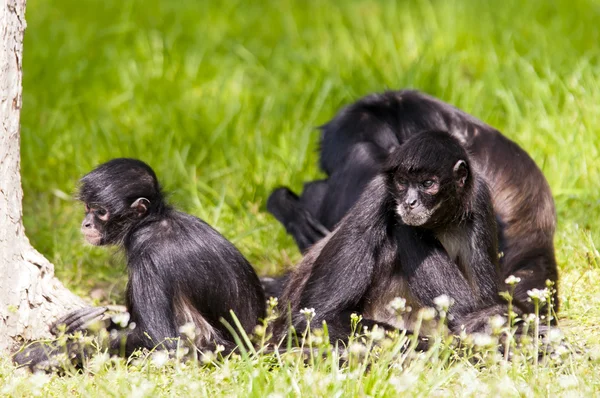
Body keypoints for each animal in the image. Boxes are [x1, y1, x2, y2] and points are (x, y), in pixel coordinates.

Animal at [15, 158, 264, 370]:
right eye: (87, 208)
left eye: (101, 212)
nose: (86, 223)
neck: (152, 221)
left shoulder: (148, 252)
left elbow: (163, 342)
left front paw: (46, 353)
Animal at [274, 131, 508, 342]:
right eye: (402, 182)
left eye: (427, 184)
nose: (409, 202)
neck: (439, 222)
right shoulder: (378, 193)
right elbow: (316, 319)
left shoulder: (479, 197)